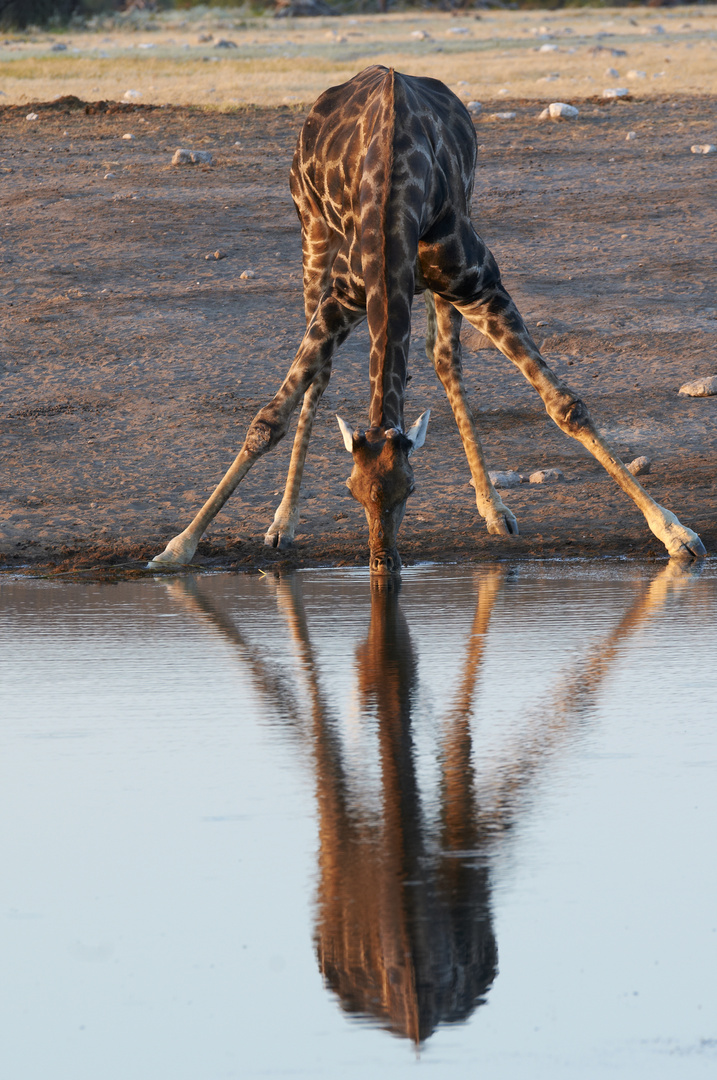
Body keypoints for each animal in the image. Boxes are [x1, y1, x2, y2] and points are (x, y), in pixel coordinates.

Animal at [147, 66, 704, 574]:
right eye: (351, 490)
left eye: (410, 489)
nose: (381, 562)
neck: (393, 196)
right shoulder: (344, 296)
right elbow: (267, 420)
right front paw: (178, 547)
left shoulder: (480, 287)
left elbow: (566, 407)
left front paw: (674, 532)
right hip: (312, 239)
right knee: (320, 379)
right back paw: (284, 521)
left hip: (439, 288)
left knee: (444, 360)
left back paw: (493, 509)